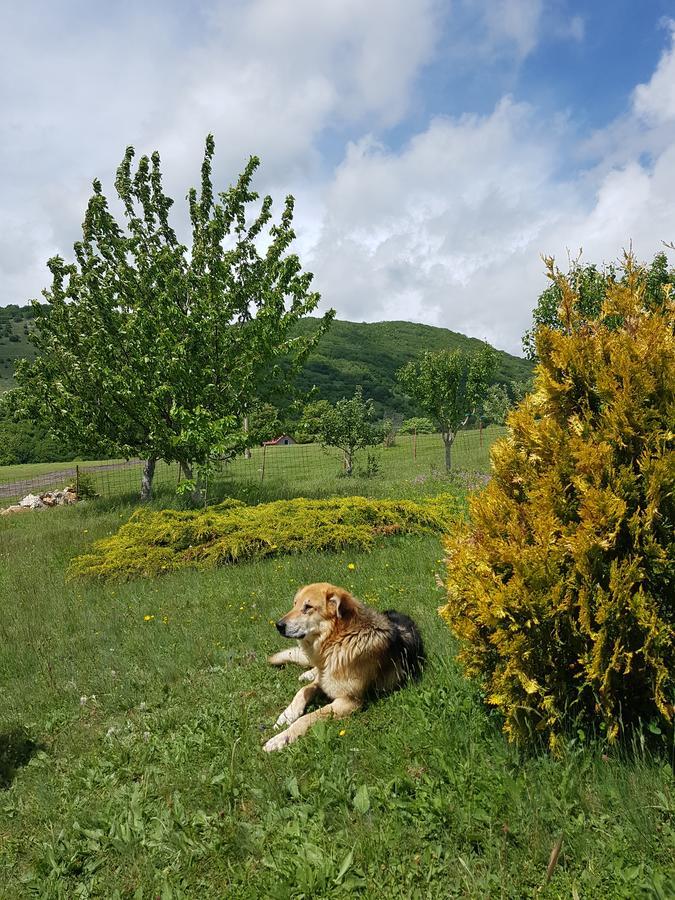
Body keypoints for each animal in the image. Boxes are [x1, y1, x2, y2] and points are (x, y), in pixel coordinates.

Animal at [262, 580, 426, 748]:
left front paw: (282, 737)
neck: (338, 640)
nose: (278, 625)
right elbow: (303, 691)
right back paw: (308, 673)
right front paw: (287, 715)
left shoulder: (348, 701)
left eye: (308, 607)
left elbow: (308, 717)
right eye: (295, 604)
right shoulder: (324, 679)